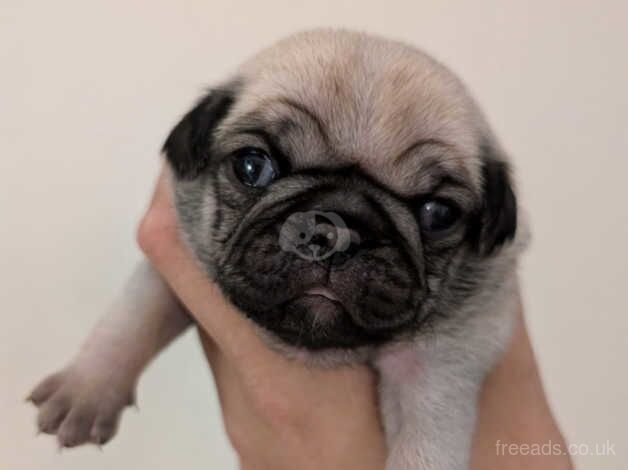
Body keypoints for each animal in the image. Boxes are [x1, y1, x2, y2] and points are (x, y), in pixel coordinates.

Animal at [30, 30, 528, 470]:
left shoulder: (442, 357)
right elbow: (132, 317)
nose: (336, 229)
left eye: (438, 214)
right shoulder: (173, 258)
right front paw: (88, 387)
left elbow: (427, 437)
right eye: (253, 167)